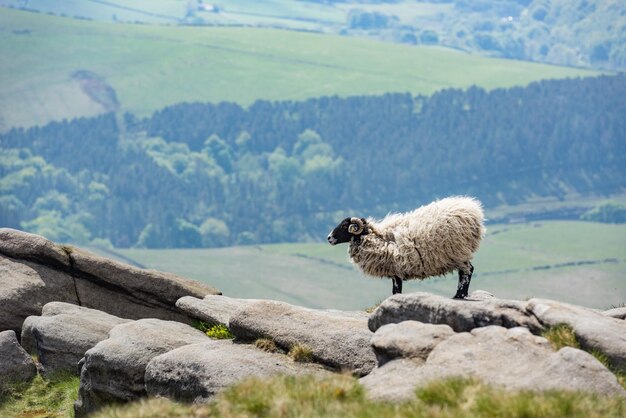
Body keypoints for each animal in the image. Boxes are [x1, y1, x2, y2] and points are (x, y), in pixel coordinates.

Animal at [326, 196, 482, 298]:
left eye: (344, 226)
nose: (329, 238)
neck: (377, 238)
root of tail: (473, 210)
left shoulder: (396, 269)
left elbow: (396, 291)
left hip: (458, 251)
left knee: (467, 271)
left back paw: (460, 295)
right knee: (464, 272)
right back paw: (460, 294)